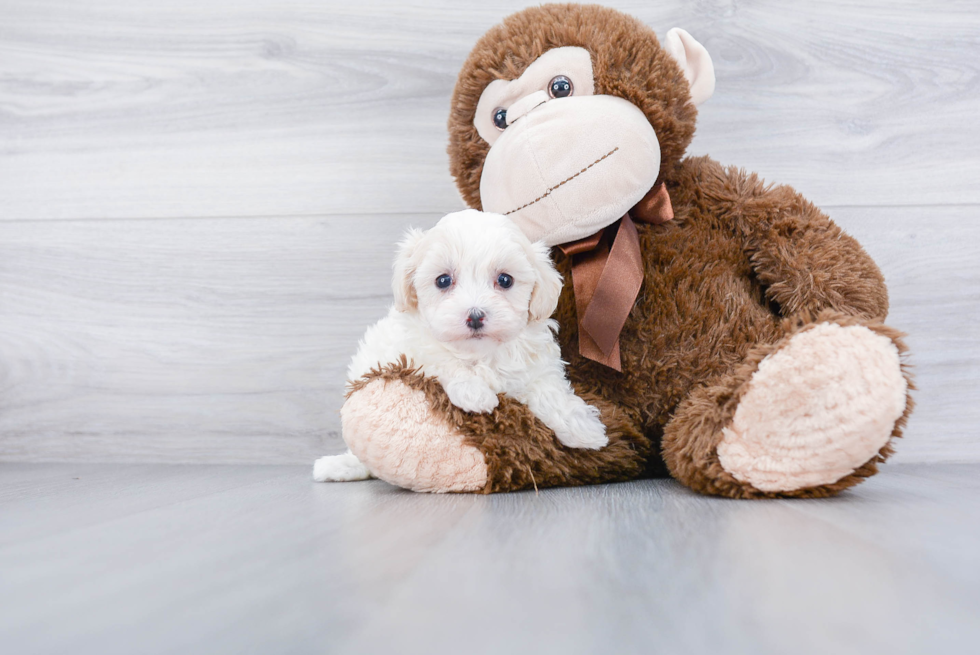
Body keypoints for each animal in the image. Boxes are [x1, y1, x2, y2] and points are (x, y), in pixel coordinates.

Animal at [314, 209, 604, 482]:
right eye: (443, 280)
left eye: (505, 280)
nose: (475, 316)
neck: (481, 354)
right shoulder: (413, 349)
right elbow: (443, 360)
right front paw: (474, 392)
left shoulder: (537, 367)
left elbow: (550, 391)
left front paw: (584, 429)